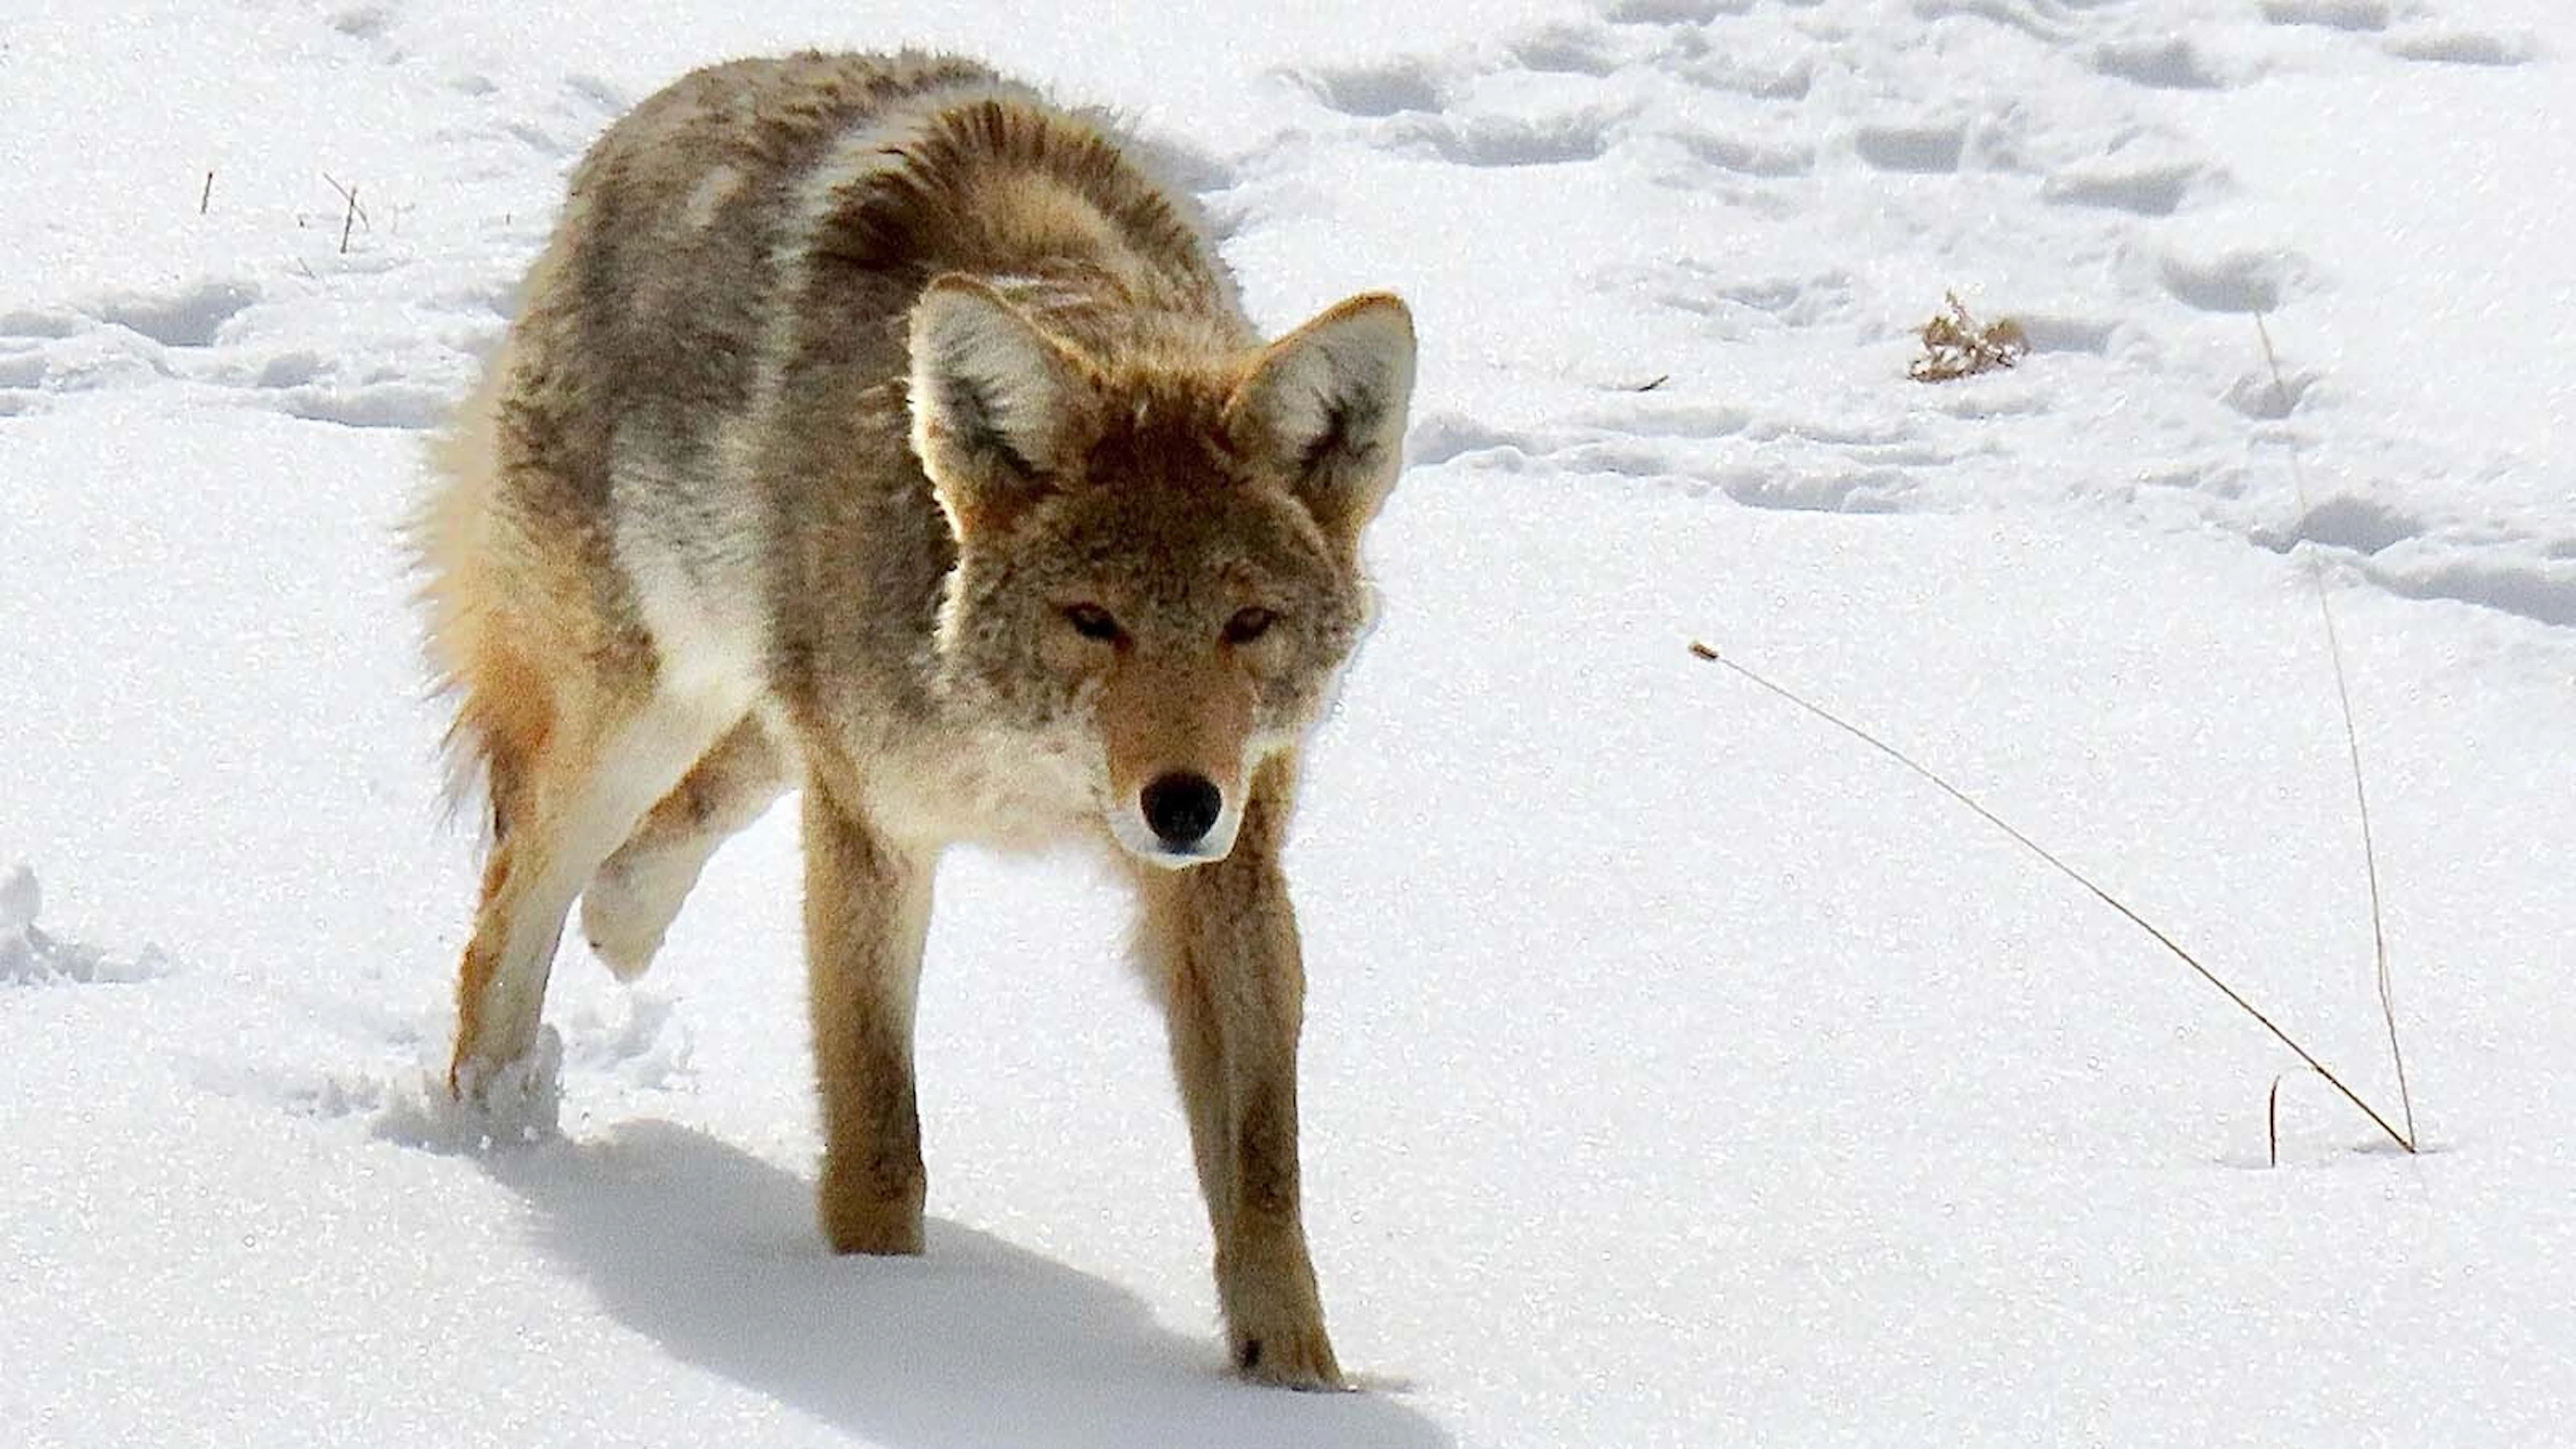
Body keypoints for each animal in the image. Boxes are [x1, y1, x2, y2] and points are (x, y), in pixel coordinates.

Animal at [409, 51, 1416, 1388]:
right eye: (1093, 620)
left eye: (1247, 624)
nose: (1180, 803)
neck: (1028, 771)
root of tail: (652, 117)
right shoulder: (875, 833)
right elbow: (880, 1127)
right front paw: (883, 1316)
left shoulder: (1225, 872)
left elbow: (1263, 1172)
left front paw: (1296, 1382)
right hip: (641, 711)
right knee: (509, 906)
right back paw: (495, 1134)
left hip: (753, 714)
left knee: (675, 823)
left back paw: (618, 930)